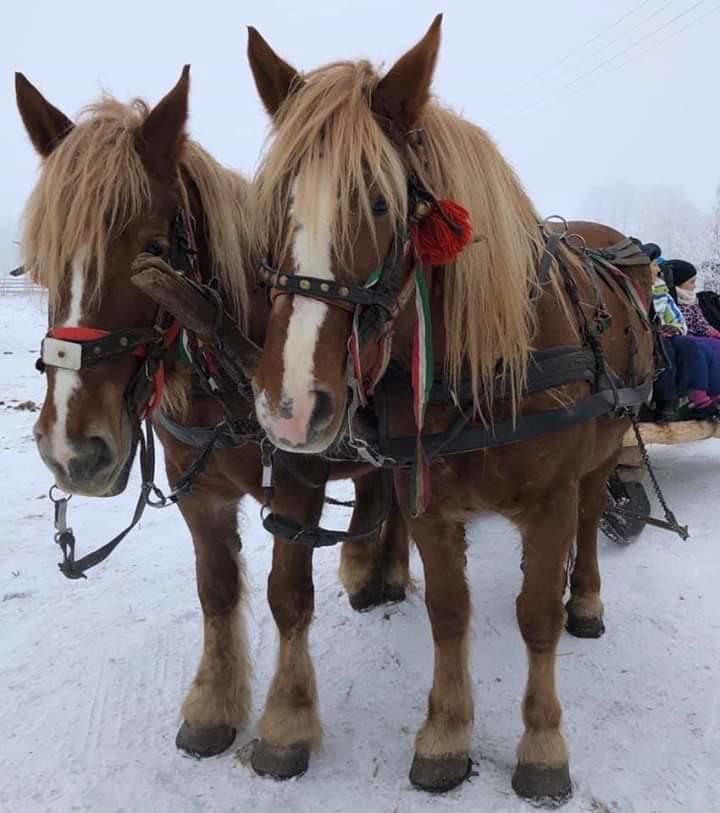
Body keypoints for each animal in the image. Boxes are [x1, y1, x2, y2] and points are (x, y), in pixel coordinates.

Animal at [15, 68, 410, 768]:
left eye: (151, 249)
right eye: (44, 263)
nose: (71, 451)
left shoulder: (297, 485)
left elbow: (287, 596)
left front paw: (286, 724)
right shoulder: (198, 491)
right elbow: (217, 589)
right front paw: (213, 706)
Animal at [245, 15, 656, 804]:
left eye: (378, 202)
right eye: (273, 201)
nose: (290, 407)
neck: (483, 368)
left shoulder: (550, 499)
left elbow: (535, 616)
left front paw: (542, 746)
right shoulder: (429, 503)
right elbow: (448, 610)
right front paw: (445, 734)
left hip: (601, 451)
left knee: (593, 517)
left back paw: (584, 600)